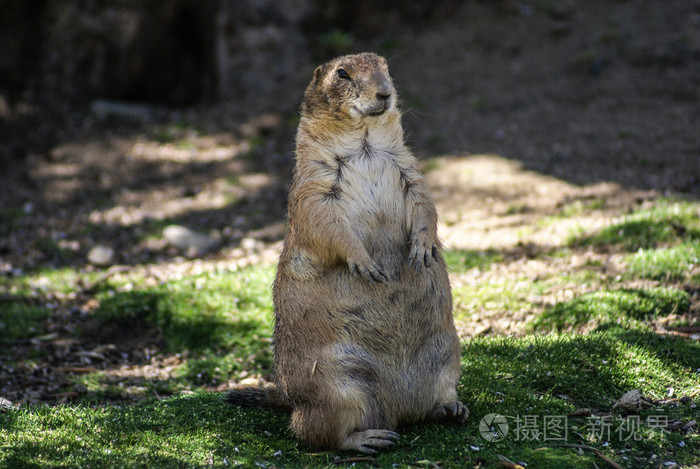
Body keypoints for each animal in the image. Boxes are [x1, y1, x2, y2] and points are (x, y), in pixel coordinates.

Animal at [224, 53, 468, 452]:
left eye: (385, 66)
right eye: (342, 73)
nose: (384, 92)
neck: (365, 144)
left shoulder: (410, 169)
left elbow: (426, 204)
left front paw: (423, 248)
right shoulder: (314, 187)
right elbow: (328, 225)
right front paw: (367, 264)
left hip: (448, 355)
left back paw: (450, 408)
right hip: (336, 386)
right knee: (312, 431)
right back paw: (367, 439)